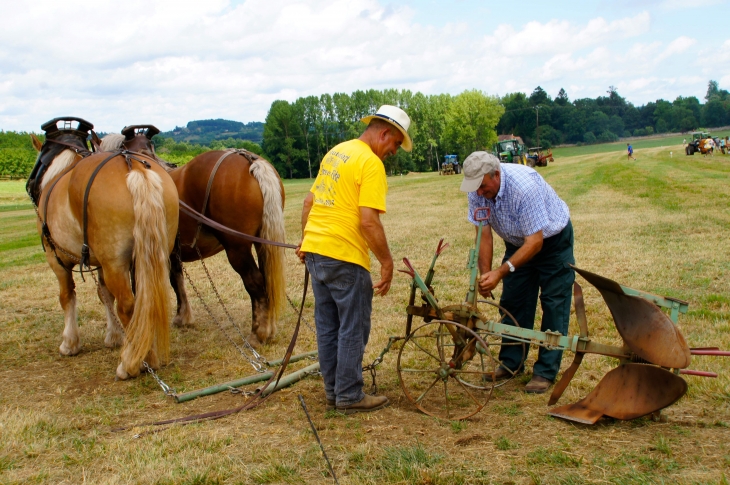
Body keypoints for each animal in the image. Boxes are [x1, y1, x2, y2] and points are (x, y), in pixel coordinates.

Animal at [30, 118, 179, 378]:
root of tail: (134, 167)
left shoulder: (56, 259)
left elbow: (67, 296)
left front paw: (70, 343)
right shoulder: (100, 263)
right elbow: (105, 294)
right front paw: (114, 336)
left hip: (115, 263)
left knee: (128, 305)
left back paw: (132, 363)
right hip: (153, 255)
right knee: (146, 301)